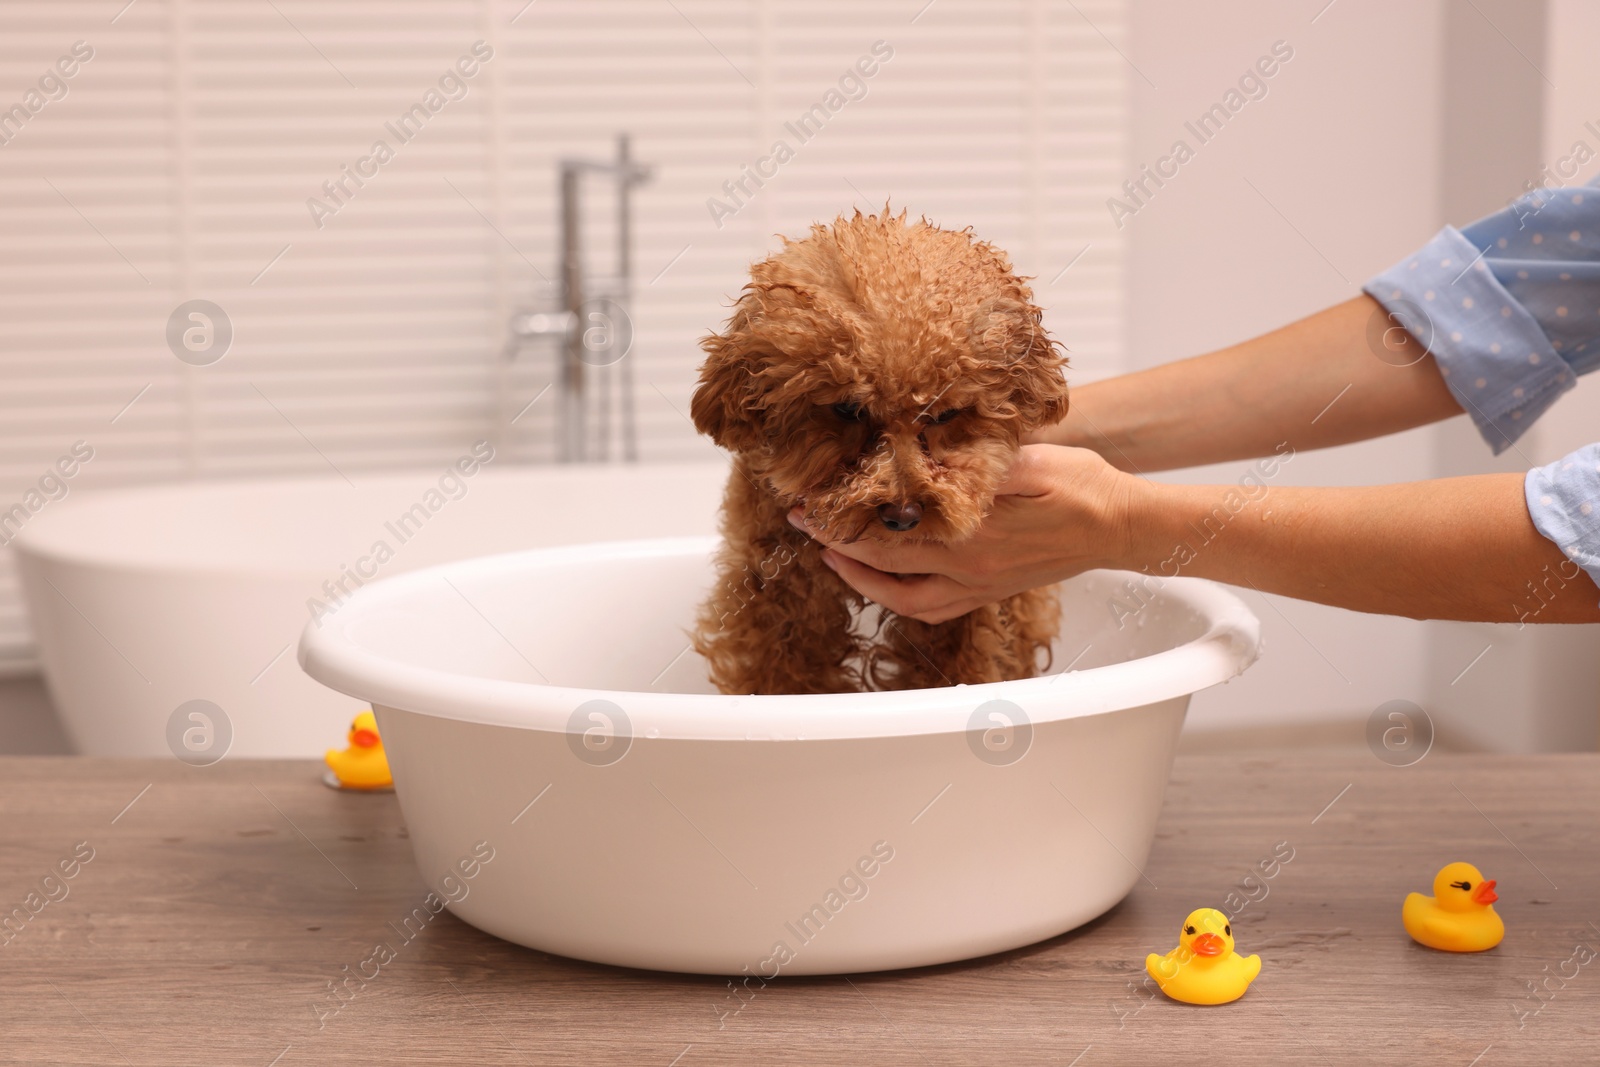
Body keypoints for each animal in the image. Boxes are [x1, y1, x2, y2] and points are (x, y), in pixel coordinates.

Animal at [684, 209, 1068, 697]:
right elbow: (782, 674)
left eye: (945, 414)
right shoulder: (781, 590)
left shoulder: (959, 611)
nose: (902, 516)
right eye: (849, 409)